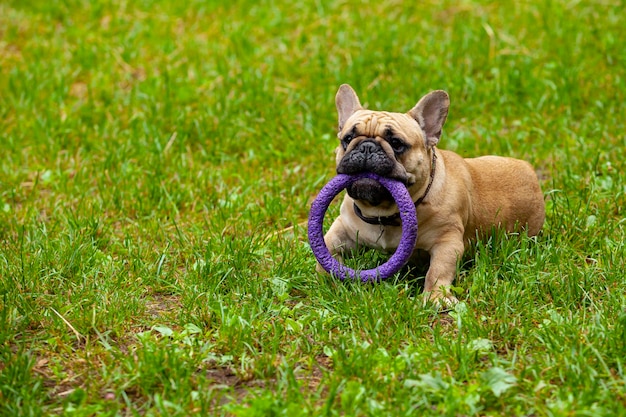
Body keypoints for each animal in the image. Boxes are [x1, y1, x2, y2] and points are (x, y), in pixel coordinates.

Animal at [314, 84, 544, 304]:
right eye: (348, 138)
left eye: (396, 144)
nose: (367, 147)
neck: (384, 213)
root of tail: (530, 171)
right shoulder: (343, 228)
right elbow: (327, 247)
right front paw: (326, 278)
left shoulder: (447, 242)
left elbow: (438, 271)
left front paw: (435, 297)